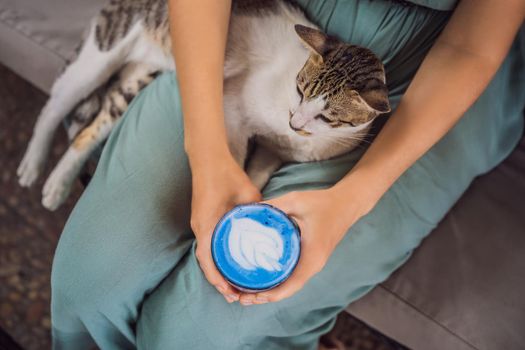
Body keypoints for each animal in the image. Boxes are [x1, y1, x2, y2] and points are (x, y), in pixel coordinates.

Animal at [16, 0, 388, 211]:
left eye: (327, 117)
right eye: (299, 90)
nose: (295, 122)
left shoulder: (276, 152)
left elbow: (258, 173)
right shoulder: (232, 108)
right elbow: (232, 157)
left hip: (139, 78)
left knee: (91, 129)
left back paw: (59, 181)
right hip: (102, 52)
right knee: (54, 107)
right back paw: (35, 166)